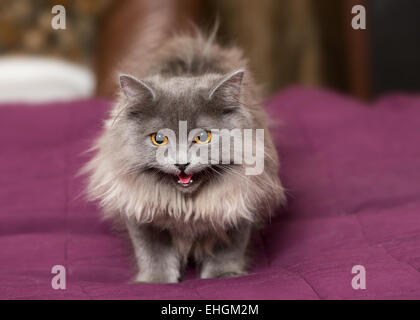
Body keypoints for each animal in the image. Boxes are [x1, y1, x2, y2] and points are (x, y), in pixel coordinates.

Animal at [83, 30, 284, 282]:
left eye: (202, 137)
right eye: (159, 139)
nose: (181, 163)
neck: (186, 206)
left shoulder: (238, 203)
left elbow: (228, 248)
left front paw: (223, 275)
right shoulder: (140, 210)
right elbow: (153, 253)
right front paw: (156, 281)